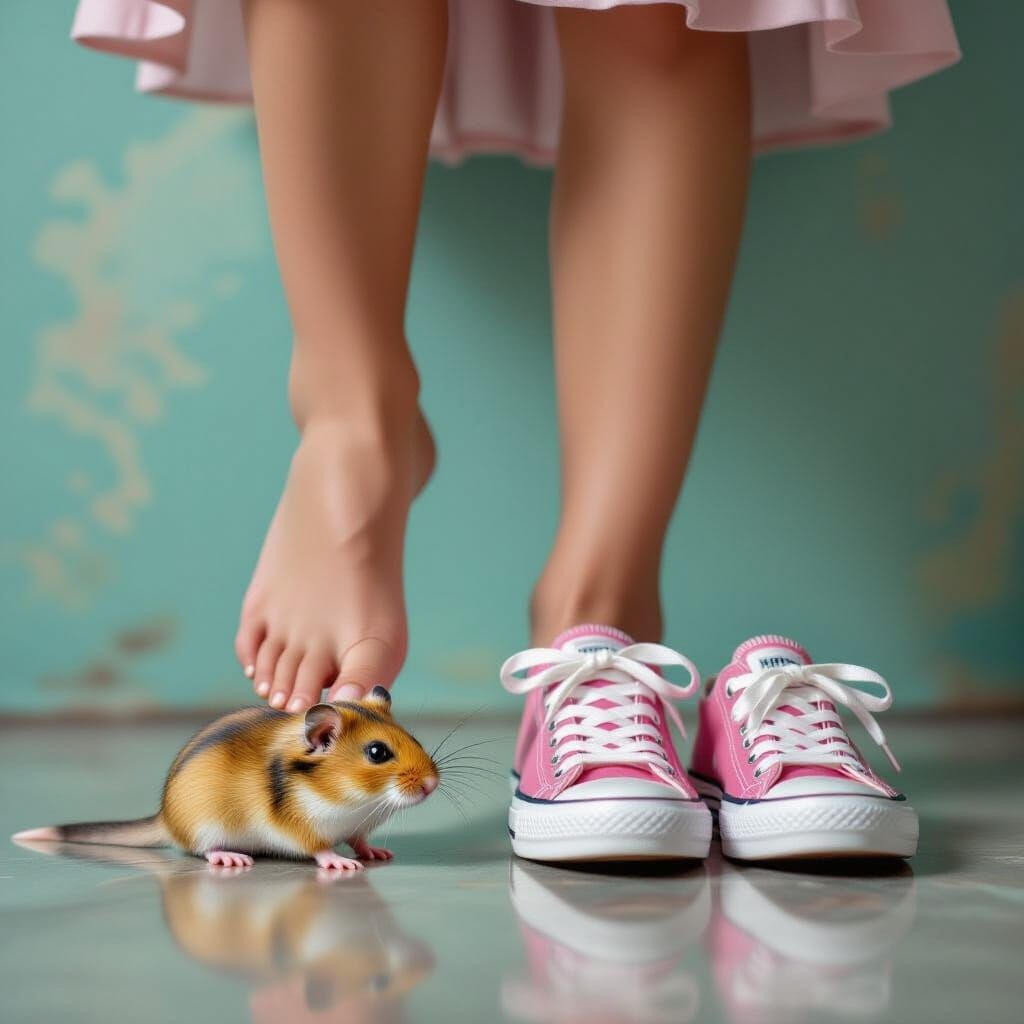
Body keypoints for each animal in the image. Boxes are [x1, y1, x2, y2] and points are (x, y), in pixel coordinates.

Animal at [12, 686, 439, 872]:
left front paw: (376, 853)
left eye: (415, 738)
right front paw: (343, 864)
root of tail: (166, 819)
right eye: (377, 753)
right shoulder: (298, 826)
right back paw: (232, 857)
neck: (356, 800)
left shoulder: (357, 825)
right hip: (206, 826)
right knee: (202, 849)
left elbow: (360, 838)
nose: (432, 784)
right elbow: (320, 848)